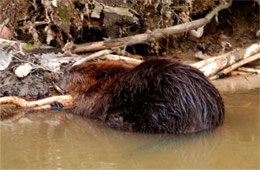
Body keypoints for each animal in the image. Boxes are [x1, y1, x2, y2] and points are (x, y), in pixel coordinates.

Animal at [64, 58, 223, 134]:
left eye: (82, 71)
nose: (67, 69)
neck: (113, 83)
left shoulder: (97, 99)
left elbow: (82, 109)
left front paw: (61, 106)